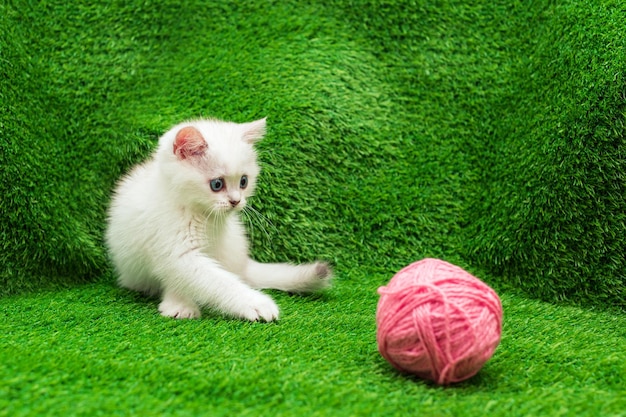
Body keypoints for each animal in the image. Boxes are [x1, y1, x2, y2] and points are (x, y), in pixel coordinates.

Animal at [106, 118, 332, 322]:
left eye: (243, 181)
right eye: (217, 184)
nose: (236, 201)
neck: (199, 213)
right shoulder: (177, 250)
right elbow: (217, 281)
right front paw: (257, 303)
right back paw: (179, 305)